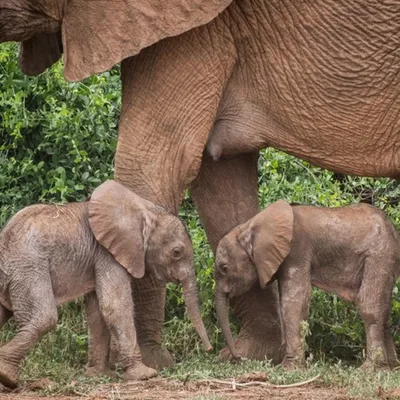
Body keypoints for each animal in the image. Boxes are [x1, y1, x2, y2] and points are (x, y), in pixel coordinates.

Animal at [0, 180, 212, 388]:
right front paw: (145, 375)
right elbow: (115, 307)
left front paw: (98, 375)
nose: (209, 350)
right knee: (45, 317)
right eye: (176, 252)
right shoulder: (107, 254)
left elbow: (97, 312)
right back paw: (7, 376)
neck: (143, 210)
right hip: (28, 267)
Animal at [216, 200, 400, 368]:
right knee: (385, 309)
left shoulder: (296, 251)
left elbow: (294, 302)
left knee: (369, 306)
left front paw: (287, 368)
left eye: (224, 268)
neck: (249, 226)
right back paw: (390, 367)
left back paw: (369, 368)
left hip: (379, 255)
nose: (236, 358)